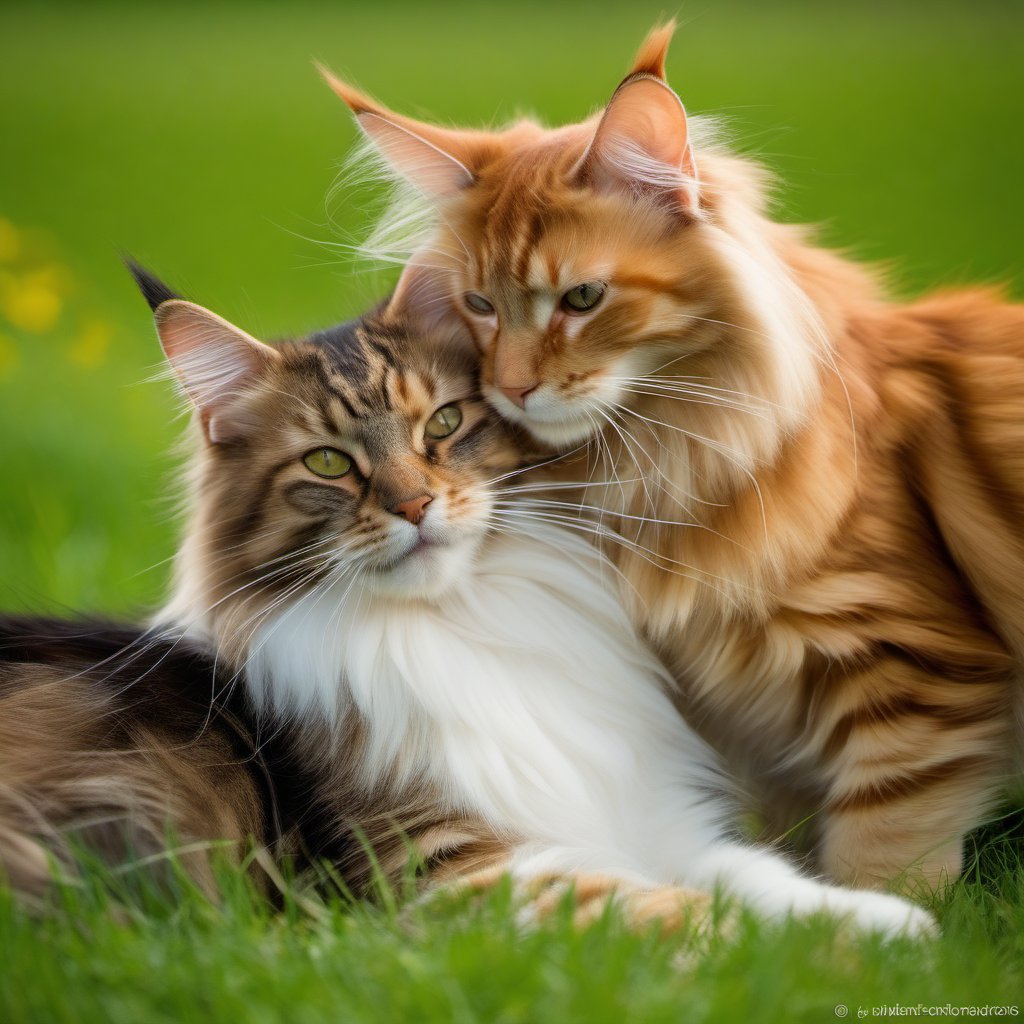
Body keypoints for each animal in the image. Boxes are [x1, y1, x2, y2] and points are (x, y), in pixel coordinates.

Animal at [0, 264, 937, 937]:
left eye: (444, 425)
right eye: (329, 464)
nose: (415, 505)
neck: (463, 621)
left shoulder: (649, 815)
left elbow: (752, 875)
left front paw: (889, 922)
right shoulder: (448, 869)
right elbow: (668, 910)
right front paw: (832, 955)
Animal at [323, 19, 1024, 892]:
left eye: (582, 299)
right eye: (479, 305)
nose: (511, 386)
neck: (654, 462)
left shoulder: (912, 673)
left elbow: (882, 852)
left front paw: (885, 918)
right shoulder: (763, 736)